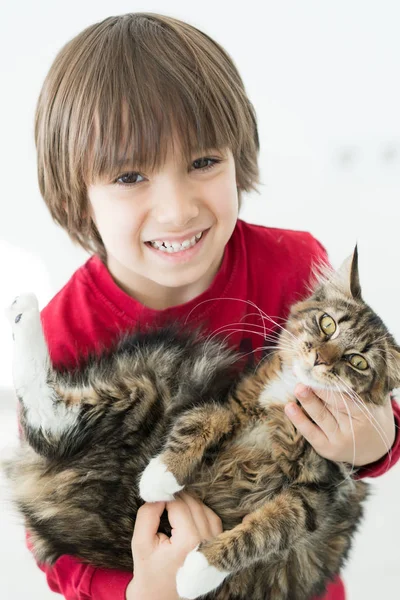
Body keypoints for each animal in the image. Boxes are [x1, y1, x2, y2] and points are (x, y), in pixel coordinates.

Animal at [3, 250, 400, 600]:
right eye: (327, 324)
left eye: (358, 362)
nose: (320, 359)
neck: (287, 400)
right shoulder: (229, 404)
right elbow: (199, 424)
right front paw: (160, 477)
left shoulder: (314, 495)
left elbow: (261, 533)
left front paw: (196, 571)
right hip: (158, 385)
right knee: (47, 421)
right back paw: (24, 310)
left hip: (151, 390)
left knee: (48, 424)